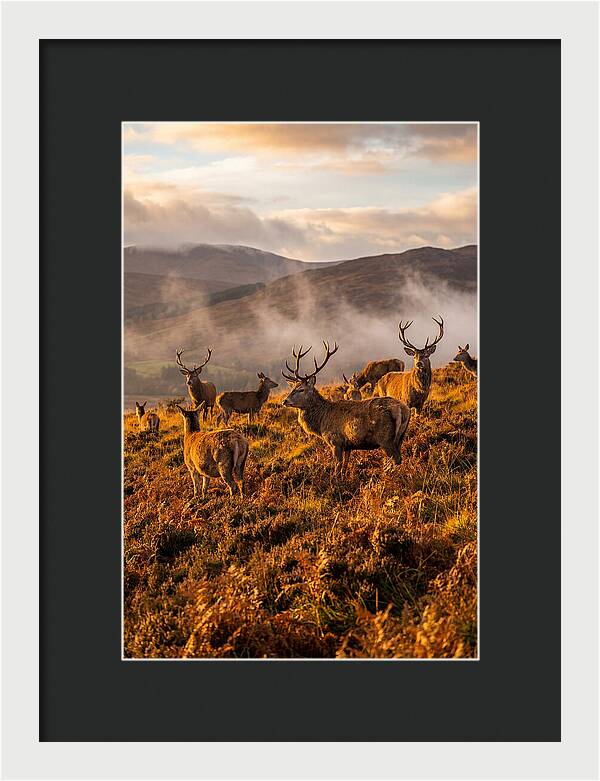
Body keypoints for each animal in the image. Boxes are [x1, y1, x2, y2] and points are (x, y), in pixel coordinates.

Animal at [282, 341, 411, 477]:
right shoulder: (348, 446)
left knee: (396, 458)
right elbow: (345, 466)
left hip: (385, 438)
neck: (321, 421)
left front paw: (335, 480)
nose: (285, 401)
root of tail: (402, 409)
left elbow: (337, 467)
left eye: (301, 389)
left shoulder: (335, 441)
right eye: (293, 388)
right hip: (401, 436)